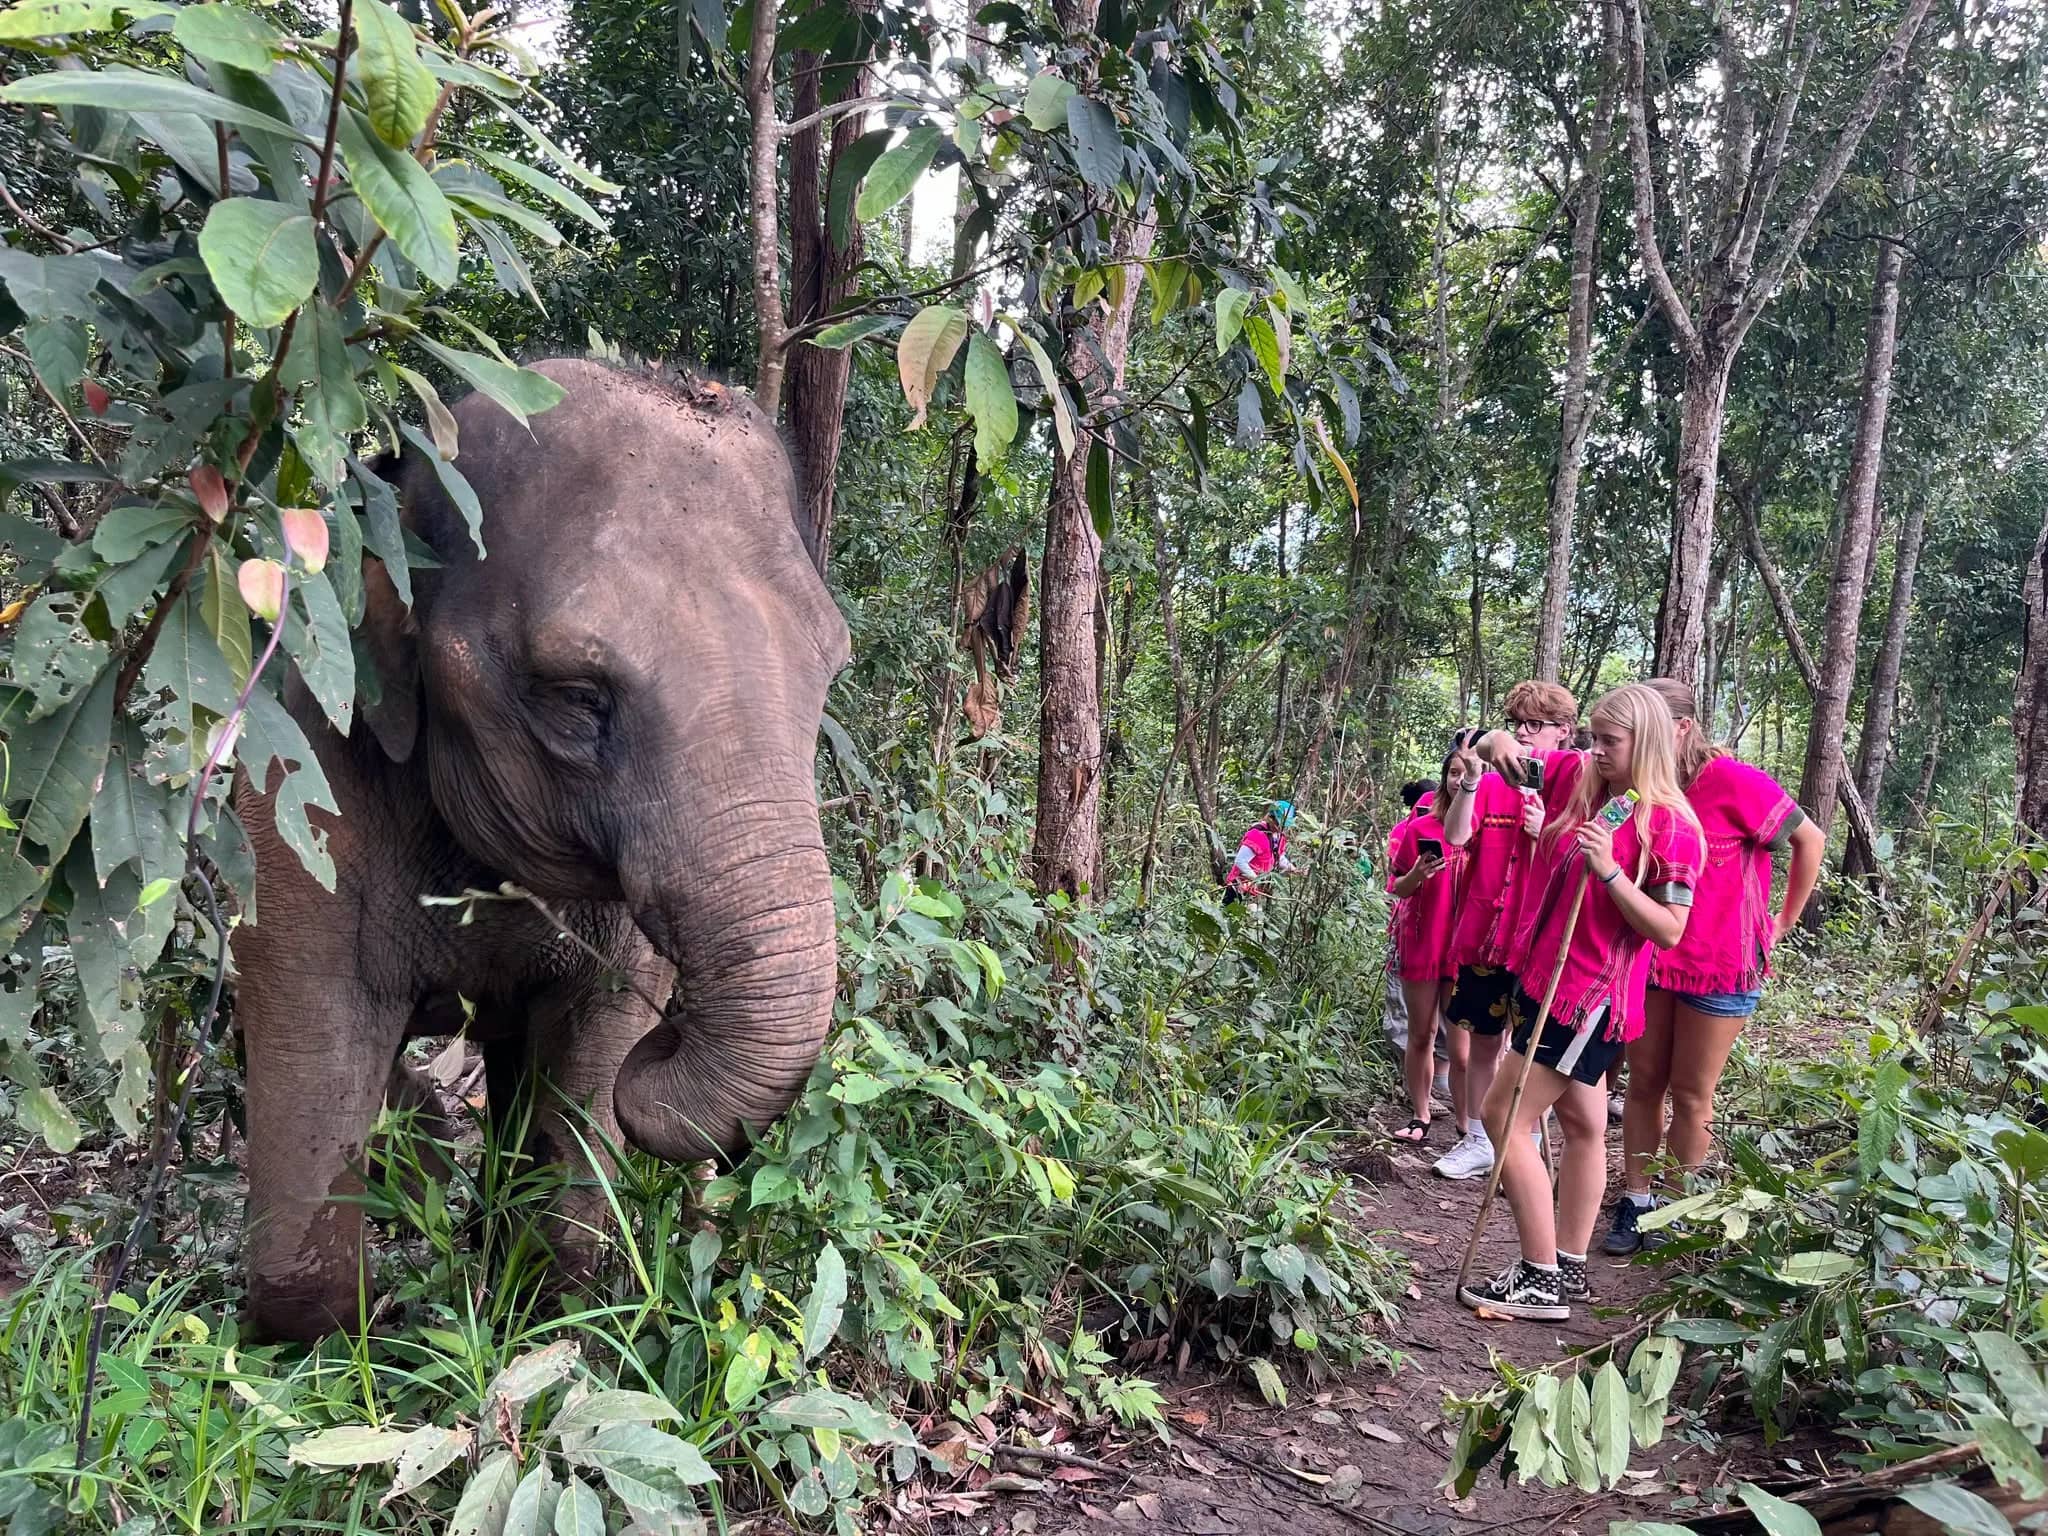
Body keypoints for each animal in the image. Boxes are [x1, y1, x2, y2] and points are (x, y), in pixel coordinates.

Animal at [229, 358, 850, 1342]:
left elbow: (585, 1069)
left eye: (833, 671)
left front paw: (536, 1316)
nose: (672, 1028)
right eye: (576, 696)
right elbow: (317, 1048)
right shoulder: (299, 789)